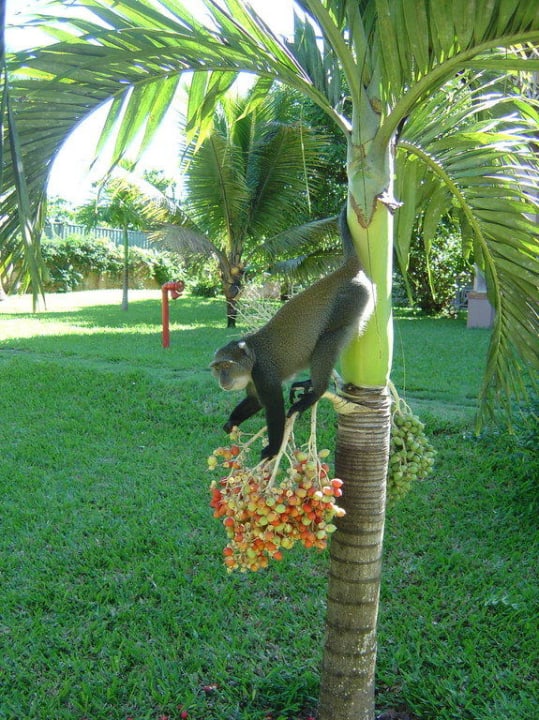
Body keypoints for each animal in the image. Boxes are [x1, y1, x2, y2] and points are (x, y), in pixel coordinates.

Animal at [210, 203, 375, 460]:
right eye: (218, 368)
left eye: (227, 365)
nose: (223, 380)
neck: (253, 355)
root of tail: (345, 271)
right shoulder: (253, 381)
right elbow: (254, 401)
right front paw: (232, 421)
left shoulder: (264, 374)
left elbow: (273, 407)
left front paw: (273, 447)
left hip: (352, 300)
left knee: (328, 339)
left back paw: (316, 391)